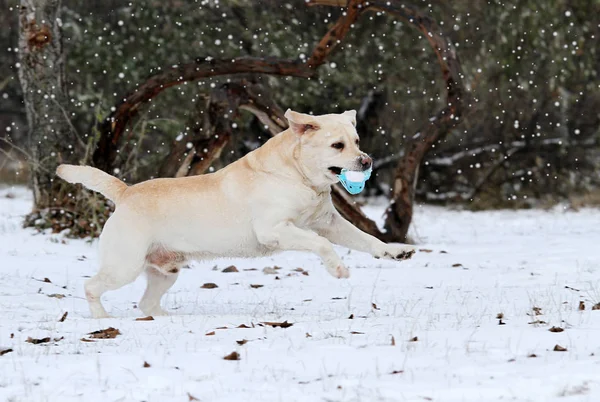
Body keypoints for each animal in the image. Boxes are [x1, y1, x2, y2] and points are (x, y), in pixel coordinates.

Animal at [58, 109, 414, 318]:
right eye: (338, 145)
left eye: (357, 140)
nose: (367, 161)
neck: (296, 175)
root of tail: (125, 192)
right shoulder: (275, 230)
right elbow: (321, 244)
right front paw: (338, 269)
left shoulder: (329, 223)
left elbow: (366, 240)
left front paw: (395, 251)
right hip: (124, 266)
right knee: (91, 287)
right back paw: (102, 319)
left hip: (165, 273)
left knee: (145, 303)